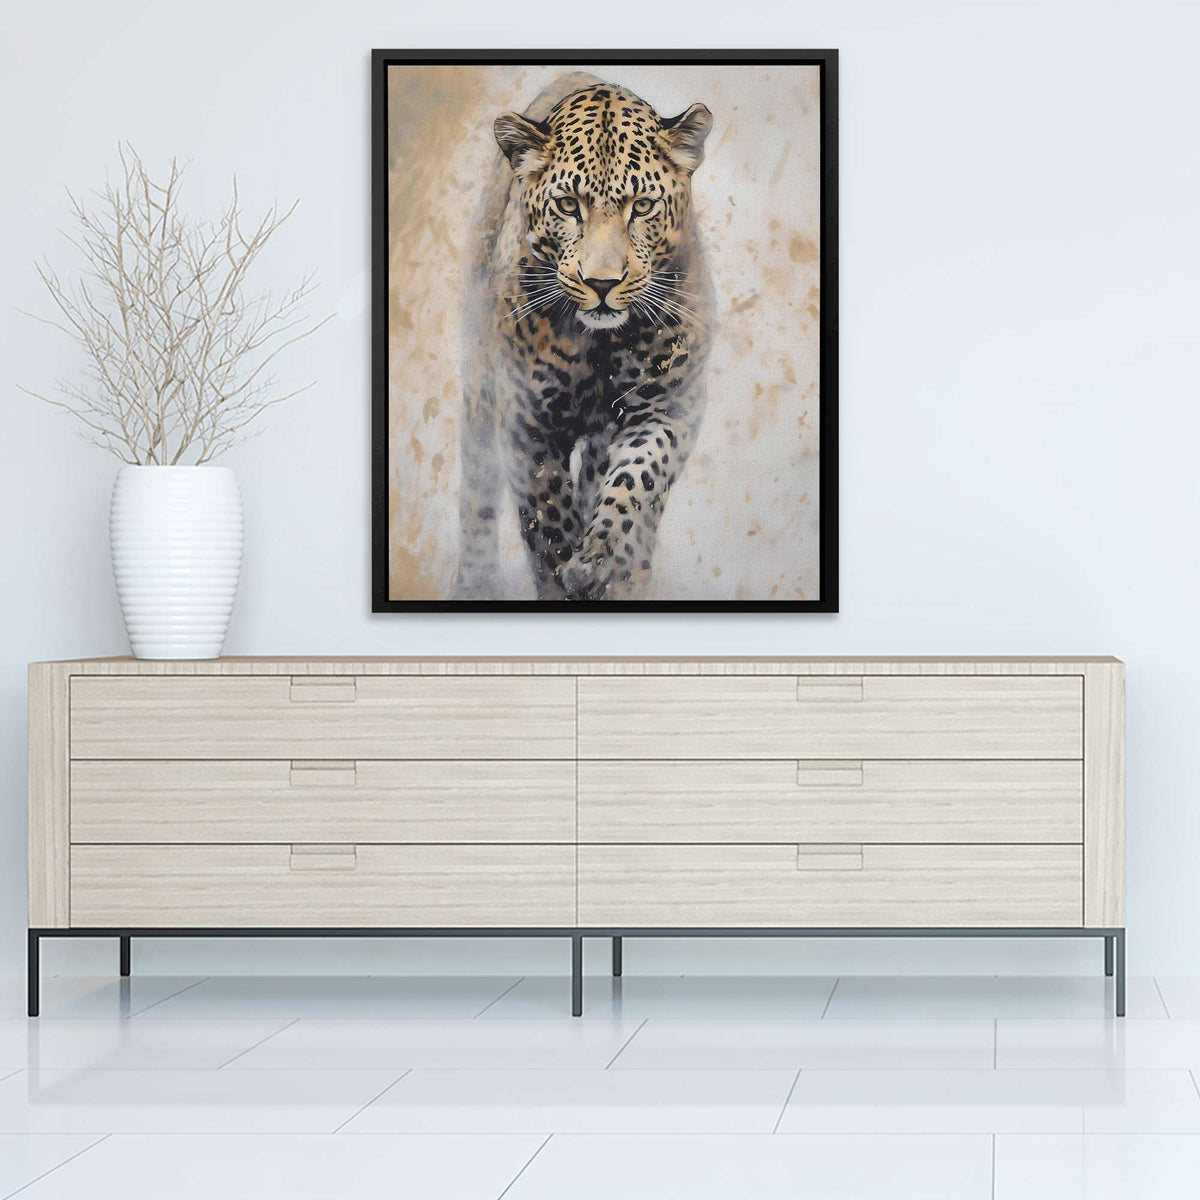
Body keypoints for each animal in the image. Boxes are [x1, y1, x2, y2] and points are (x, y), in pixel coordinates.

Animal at [453, 73, 714, 601]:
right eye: (568, 205)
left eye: (643, 206)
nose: (602, 283)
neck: (600, 345)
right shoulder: (526, 421)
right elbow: (548, 517)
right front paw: (564, 576)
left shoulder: (668, 406)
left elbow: (636, 482)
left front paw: (600, 562)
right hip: (478, 388)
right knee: (477, 489)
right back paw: (474, 582)